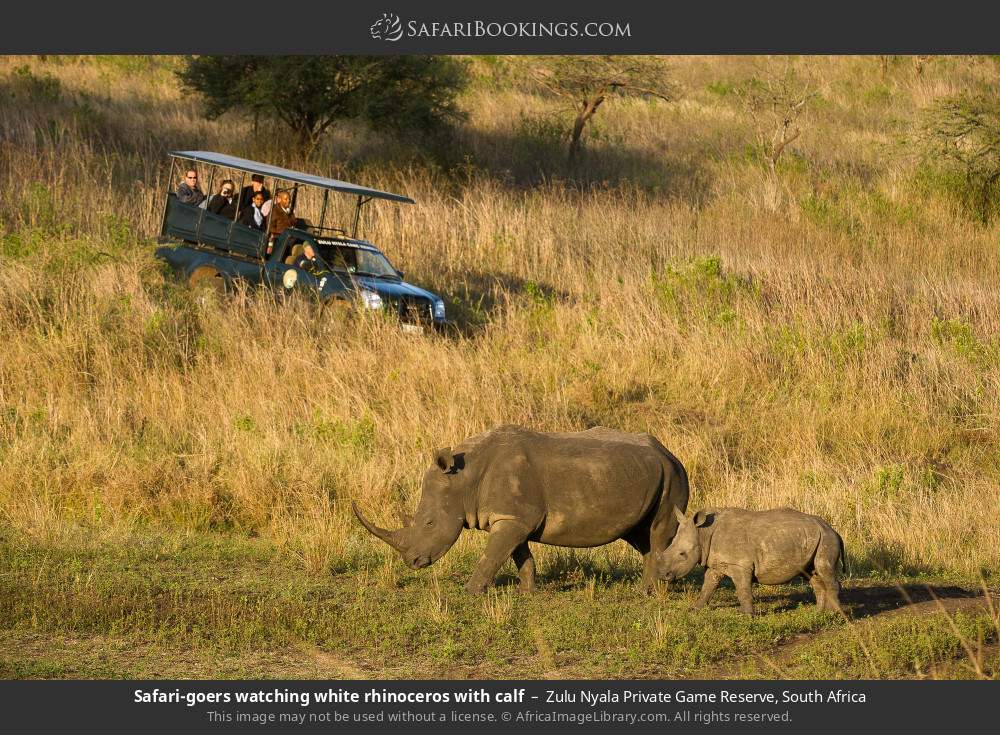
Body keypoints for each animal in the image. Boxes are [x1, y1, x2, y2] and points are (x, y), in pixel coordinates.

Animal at [353, 425, 689, 594]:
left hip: (672, 475)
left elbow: (491, 557)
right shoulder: (513, 517)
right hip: (643, 475)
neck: (465, 478)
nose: (411, 562)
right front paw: (527, 593)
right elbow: (520, 557)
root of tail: (670, 452)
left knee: (658, 531)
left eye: (430, 524)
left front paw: (469, 592)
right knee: (639, 535)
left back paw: (651, 593)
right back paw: (648, 589)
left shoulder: (514, 518)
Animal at [657, 507, 846, 615]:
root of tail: (834, 530)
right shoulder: (716, 564)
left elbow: (743, 590)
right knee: (812, 574)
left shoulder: (739, 565)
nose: (662, 574)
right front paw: (695, 609)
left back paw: (836, 614)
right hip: (814, 538)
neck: (703, 533)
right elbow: (707, 587)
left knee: (823, 569)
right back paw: (818, 613)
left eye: (682, 554)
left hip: (826, 538)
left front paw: (747, 615)